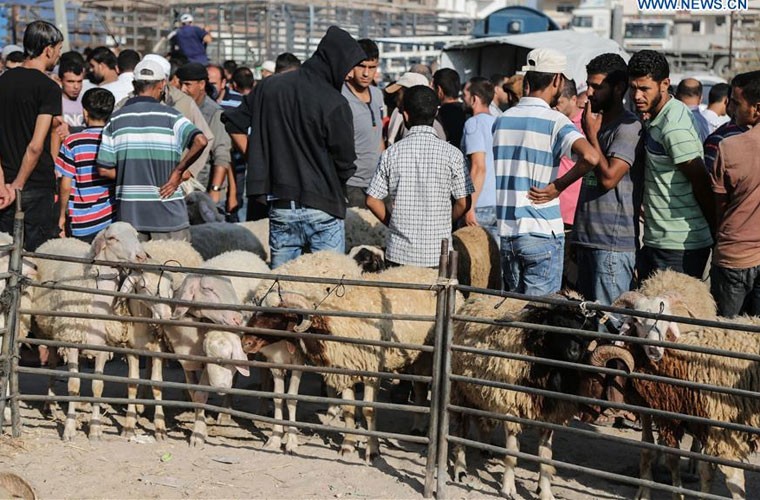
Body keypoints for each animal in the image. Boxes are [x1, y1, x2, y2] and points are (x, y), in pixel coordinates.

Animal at [446, 292, 600, 498]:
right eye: (558, 323)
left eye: (587, 331)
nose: (574, 353)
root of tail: (474, 298)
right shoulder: (511, 407)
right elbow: (512, 454)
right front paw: (508, 488)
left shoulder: (550, 415)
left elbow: (546, 457)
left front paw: (545, 491)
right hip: (459, 391)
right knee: (460, 431)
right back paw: (460, 468)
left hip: (479, 392)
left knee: (481, 419)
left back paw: (485, 447)